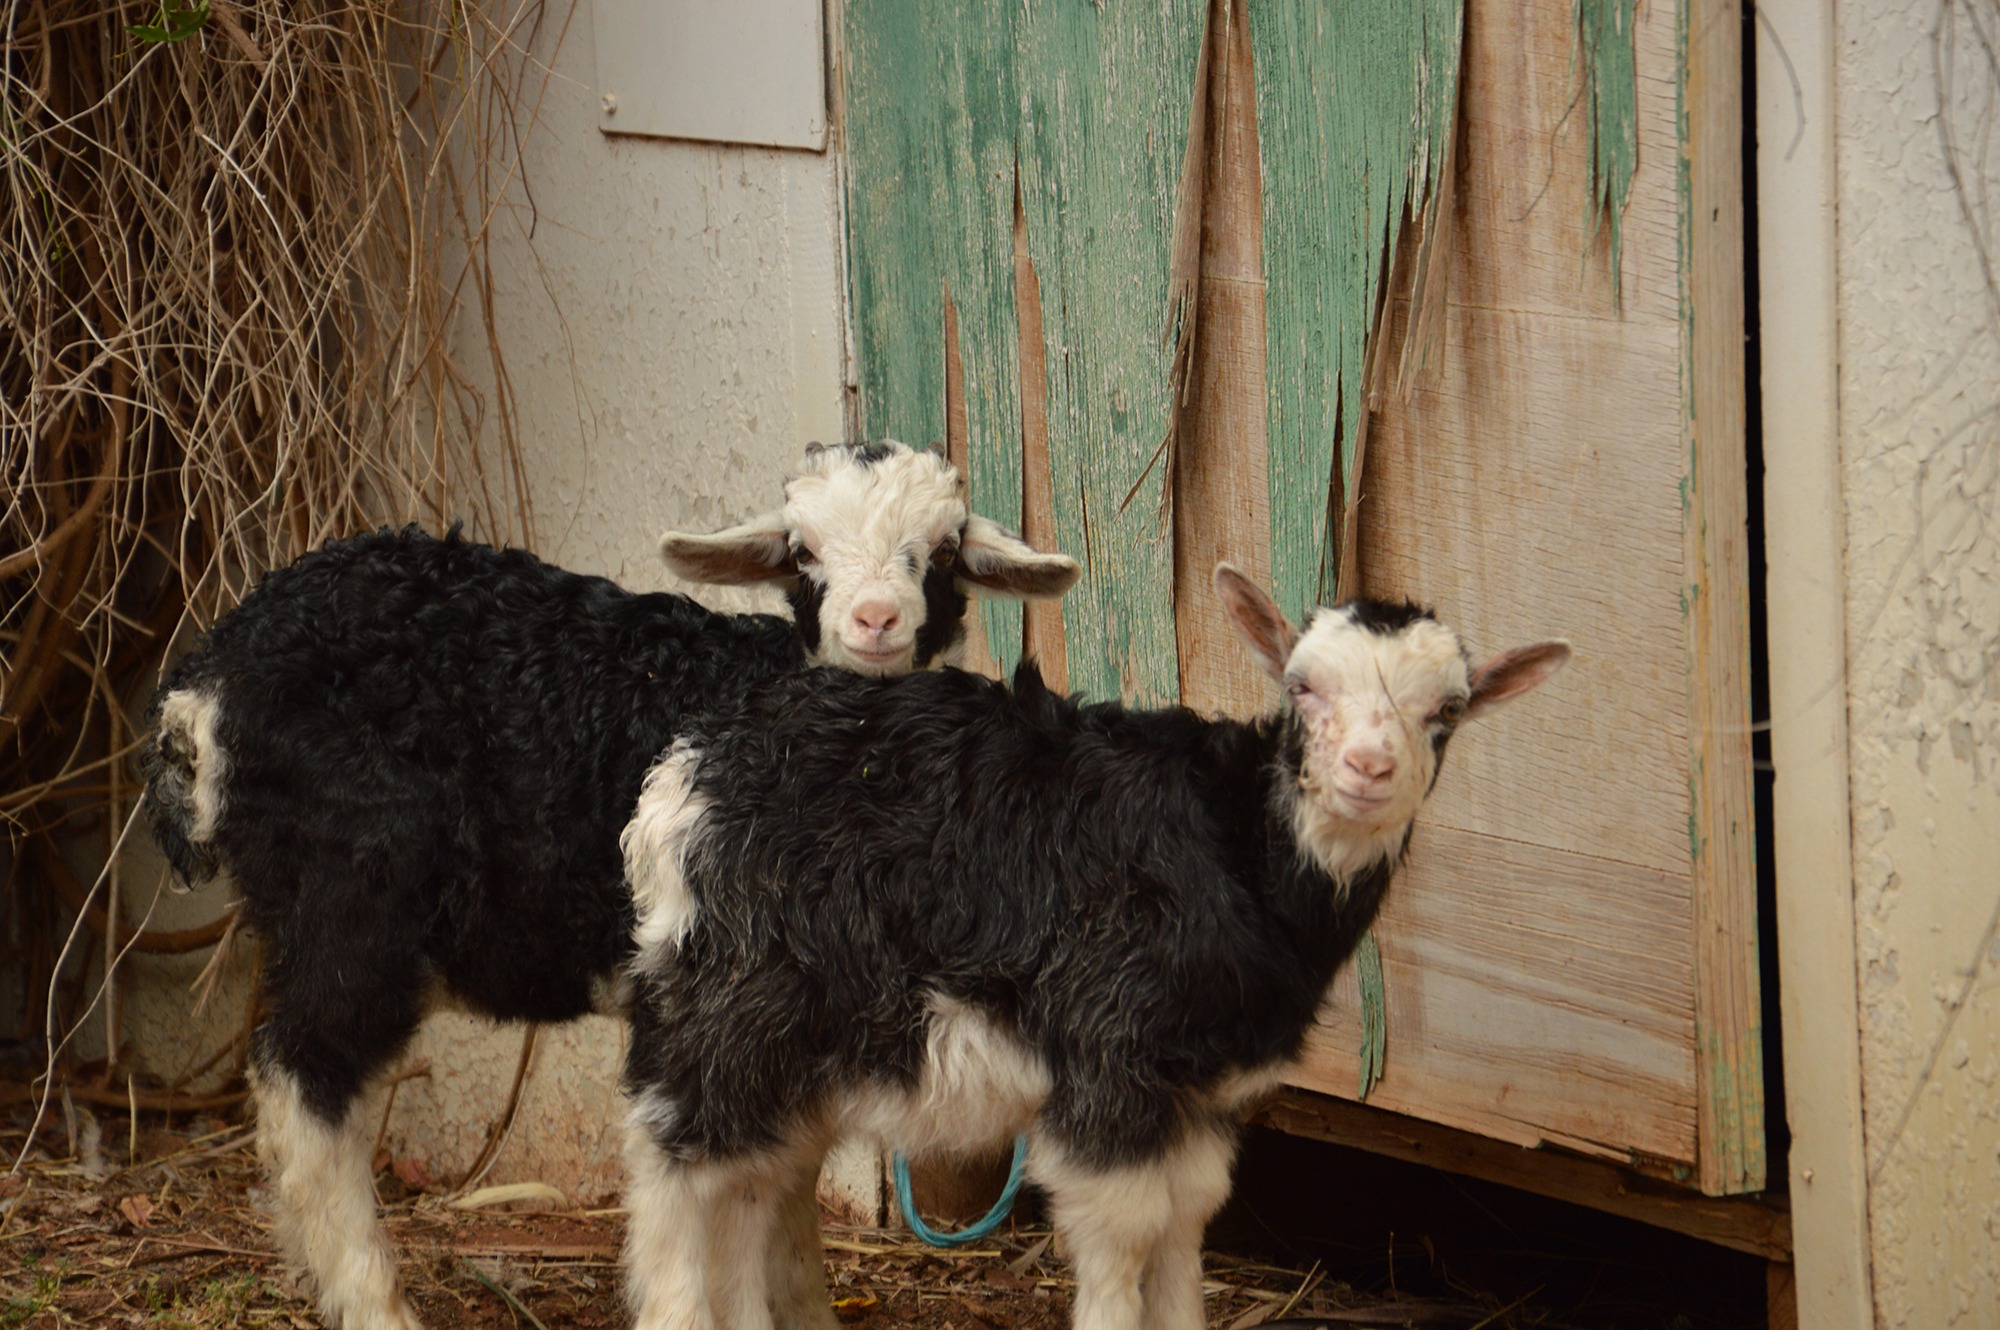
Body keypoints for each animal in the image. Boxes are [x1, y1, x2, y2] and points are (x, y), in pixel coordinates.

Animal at [141, 440, 1080, 1320]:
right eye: (801, 550)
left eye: (944, 551)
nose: (875, 618)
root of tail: (209, 679)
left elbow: (787, 1187)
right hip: (354, 891)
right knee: (306, 1088)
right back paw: (374, 1305)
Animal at [616, 564, 1568, 1328]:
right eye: (1301, 688)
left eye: (1447, 710)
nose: (1370, 770)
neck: (1242, 851)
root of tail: (690, 769)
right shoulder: (1110, 1053)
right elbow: (1126, 1229)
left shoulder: (1203, 1091)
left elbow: (1187, 1218)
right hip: (729, 994)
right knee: (675, 1164)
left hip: (804, 1042)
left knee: (754, 1180)